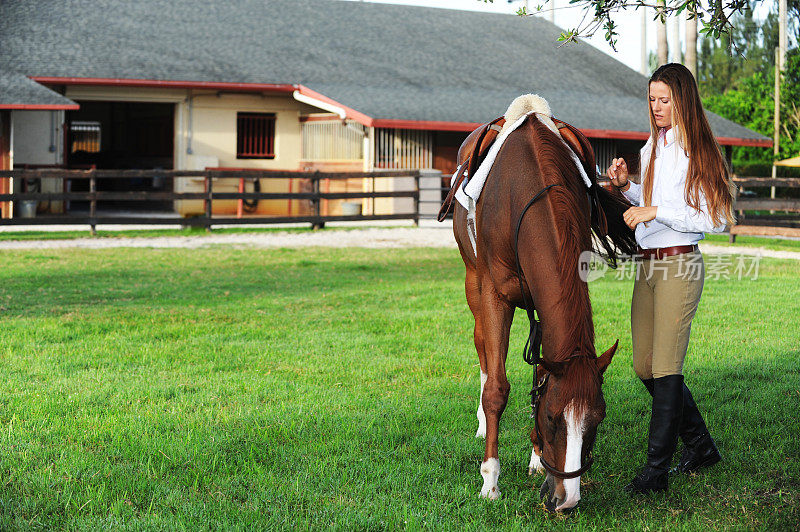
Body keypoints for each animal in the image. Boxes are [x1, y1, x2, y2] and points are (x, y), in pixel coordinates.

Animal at [454, 112, 636, 512]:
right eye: (553, 418)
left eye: (597, 420)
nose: (566, 501)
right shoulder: (495, 295)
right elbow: (497, 388)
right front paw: (490, 482)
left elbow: (540, 373)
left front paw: (536, 456)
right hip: (473, 281)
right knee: (481, 345)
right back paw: (480, 423)